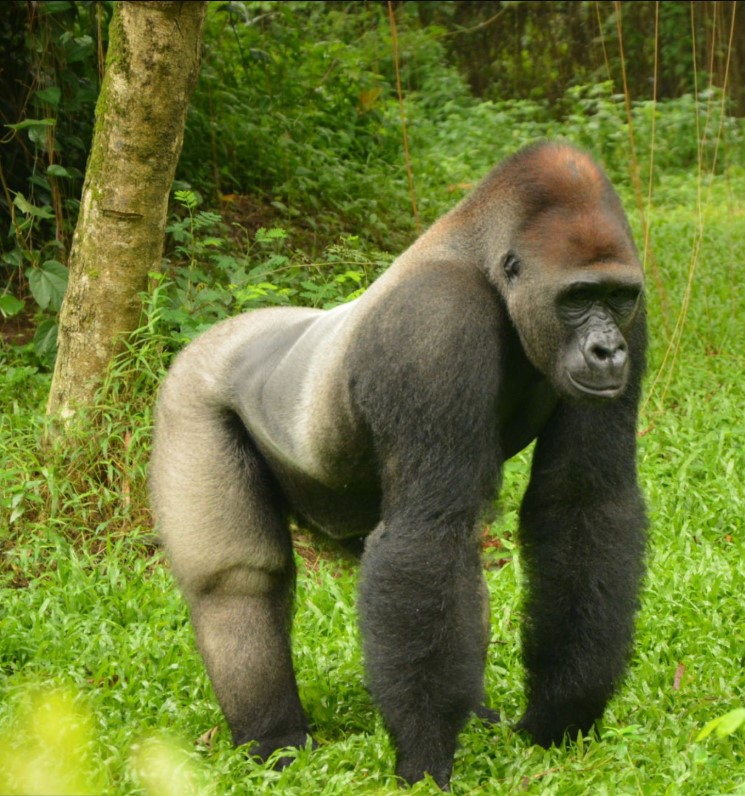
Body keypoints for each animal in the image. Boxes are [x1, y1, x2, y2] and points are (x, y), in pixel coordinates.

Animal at [150, 141, 647, 789]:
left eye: (617, 296)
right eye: (577, 298)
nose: (607, 349)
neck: (485, 265)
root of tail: (213, 335)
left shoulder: (636, 324)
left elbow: (582, 505)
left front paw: (560, 716)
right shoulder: (434, 325)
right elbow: (428, 532)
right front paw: (425, 757)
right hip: (188, 397)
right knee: (237, 580)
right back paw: (274, 738)